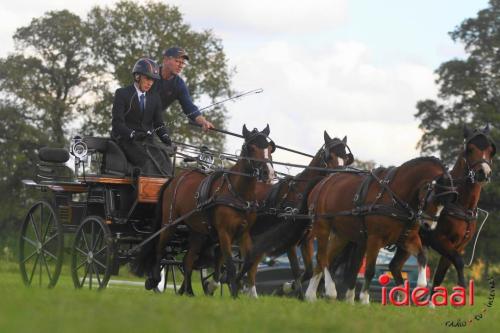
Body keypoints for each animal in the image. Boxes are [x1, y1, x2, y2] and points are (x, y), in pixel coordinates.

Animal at [133, 124, 276, 296]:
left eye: (270, 148)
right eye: (252, 147)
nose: (269, 173)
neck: (237, 193)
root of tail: (175, 178)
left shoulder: (243, 232)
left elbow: (248, 263)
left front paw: (249, 292)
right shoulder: (224, 232)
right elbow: (230, 264)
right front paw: (234, 292)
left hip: (197, 232)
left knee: (187, 260)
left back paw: (187, 292)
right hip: (170, 223)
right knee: (160, 248)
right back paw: (155, 279)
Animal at [235, 130, 356, 296]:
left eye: (345, 158)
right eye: (329, 156)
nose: (339, 177)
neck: (301, 192)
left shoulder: (306, 240)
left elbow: (308, 271)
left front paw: (285, 288)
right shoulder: (289, 242)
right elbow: (296, 270)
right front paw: (289, 290)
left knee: (251, 262)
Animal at [302, 155, 458, 300]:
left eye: (449, 201)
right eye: (434, 197)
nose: (428, 225)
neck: (396, 196)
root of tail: (322, 183)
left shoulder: (408, 238)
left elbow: (422, 257)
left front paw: (420, 289)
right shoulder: (375, 239)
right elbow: (370, 270)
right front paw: (364, 299)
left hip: (341, 235)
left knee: (325, 259)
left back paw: (311, 295)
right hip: (322, 226)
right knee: (321, 256)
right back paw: (329, 290)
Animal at [388, 124, 494, 296]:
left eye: (491, 150)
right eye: (470, 149)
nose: (483, 172)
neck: (461, 205)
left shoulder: (458, 245)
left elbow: (439, 275)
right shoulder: (439, 240)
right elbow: (458, 261)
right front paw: (460, 290)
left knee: (395, 266)